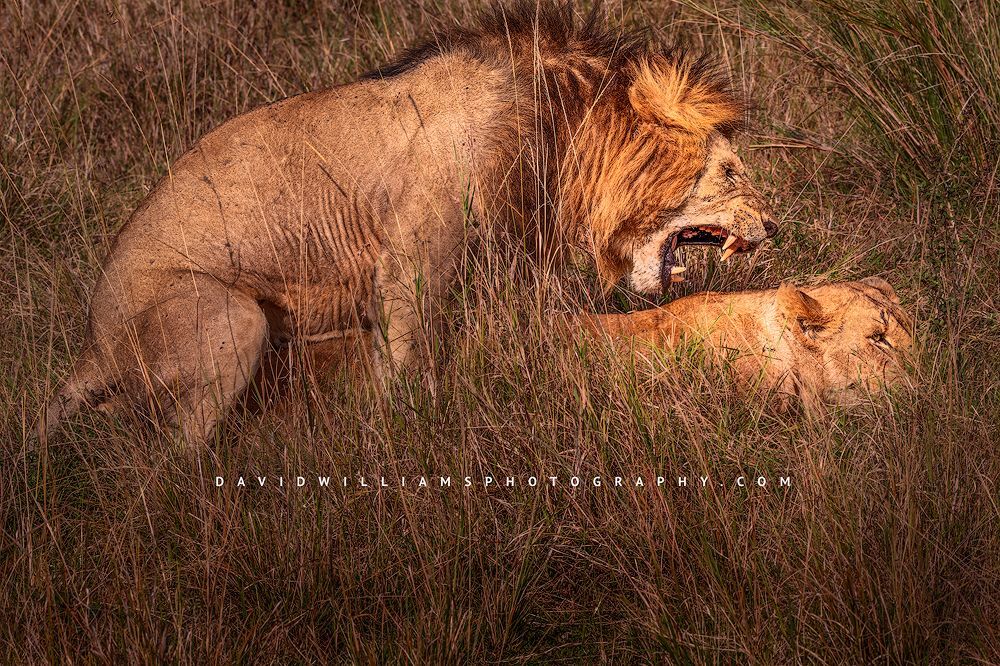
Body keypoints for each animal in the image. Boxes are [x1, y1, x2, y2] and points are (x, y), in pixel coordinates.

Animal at [41, 2, 777, 442]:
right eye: (730, 170)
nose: (774, 226)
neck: (561, 129)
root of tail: (90, 349)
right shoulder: (412, 256)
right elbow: (405, 354)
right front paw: (406, 432)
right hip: (229, 320)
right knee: (164, 458)